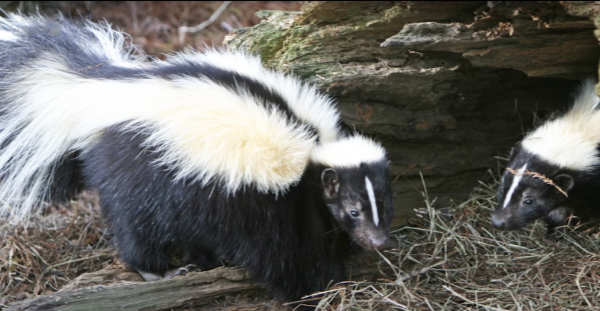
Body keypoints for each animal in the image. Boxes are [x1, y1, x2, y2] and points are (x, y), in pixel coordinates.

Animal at [0, 14, 394, 302]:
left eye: (386, 207)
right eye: (353, 210)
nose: (378, 241)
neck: (313, 153)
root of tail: (100, 90)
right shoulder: (277, 205)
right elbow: (289, 257)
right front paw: (319, 288)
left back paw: (203, 260)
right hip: (140, 171)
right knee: (137, 227)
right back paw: (158, 270)